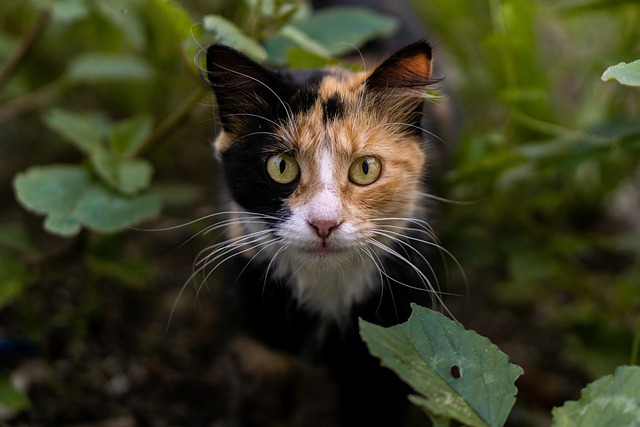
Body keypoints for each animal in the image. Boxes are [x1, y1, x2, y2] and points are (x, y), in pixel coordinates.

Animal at [202, 37, 448, 427]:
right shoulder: (261, 342)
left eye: (366, 168)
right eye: (281, 166)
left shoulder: (388, 350)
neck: (325, 286)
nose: (324, 223)